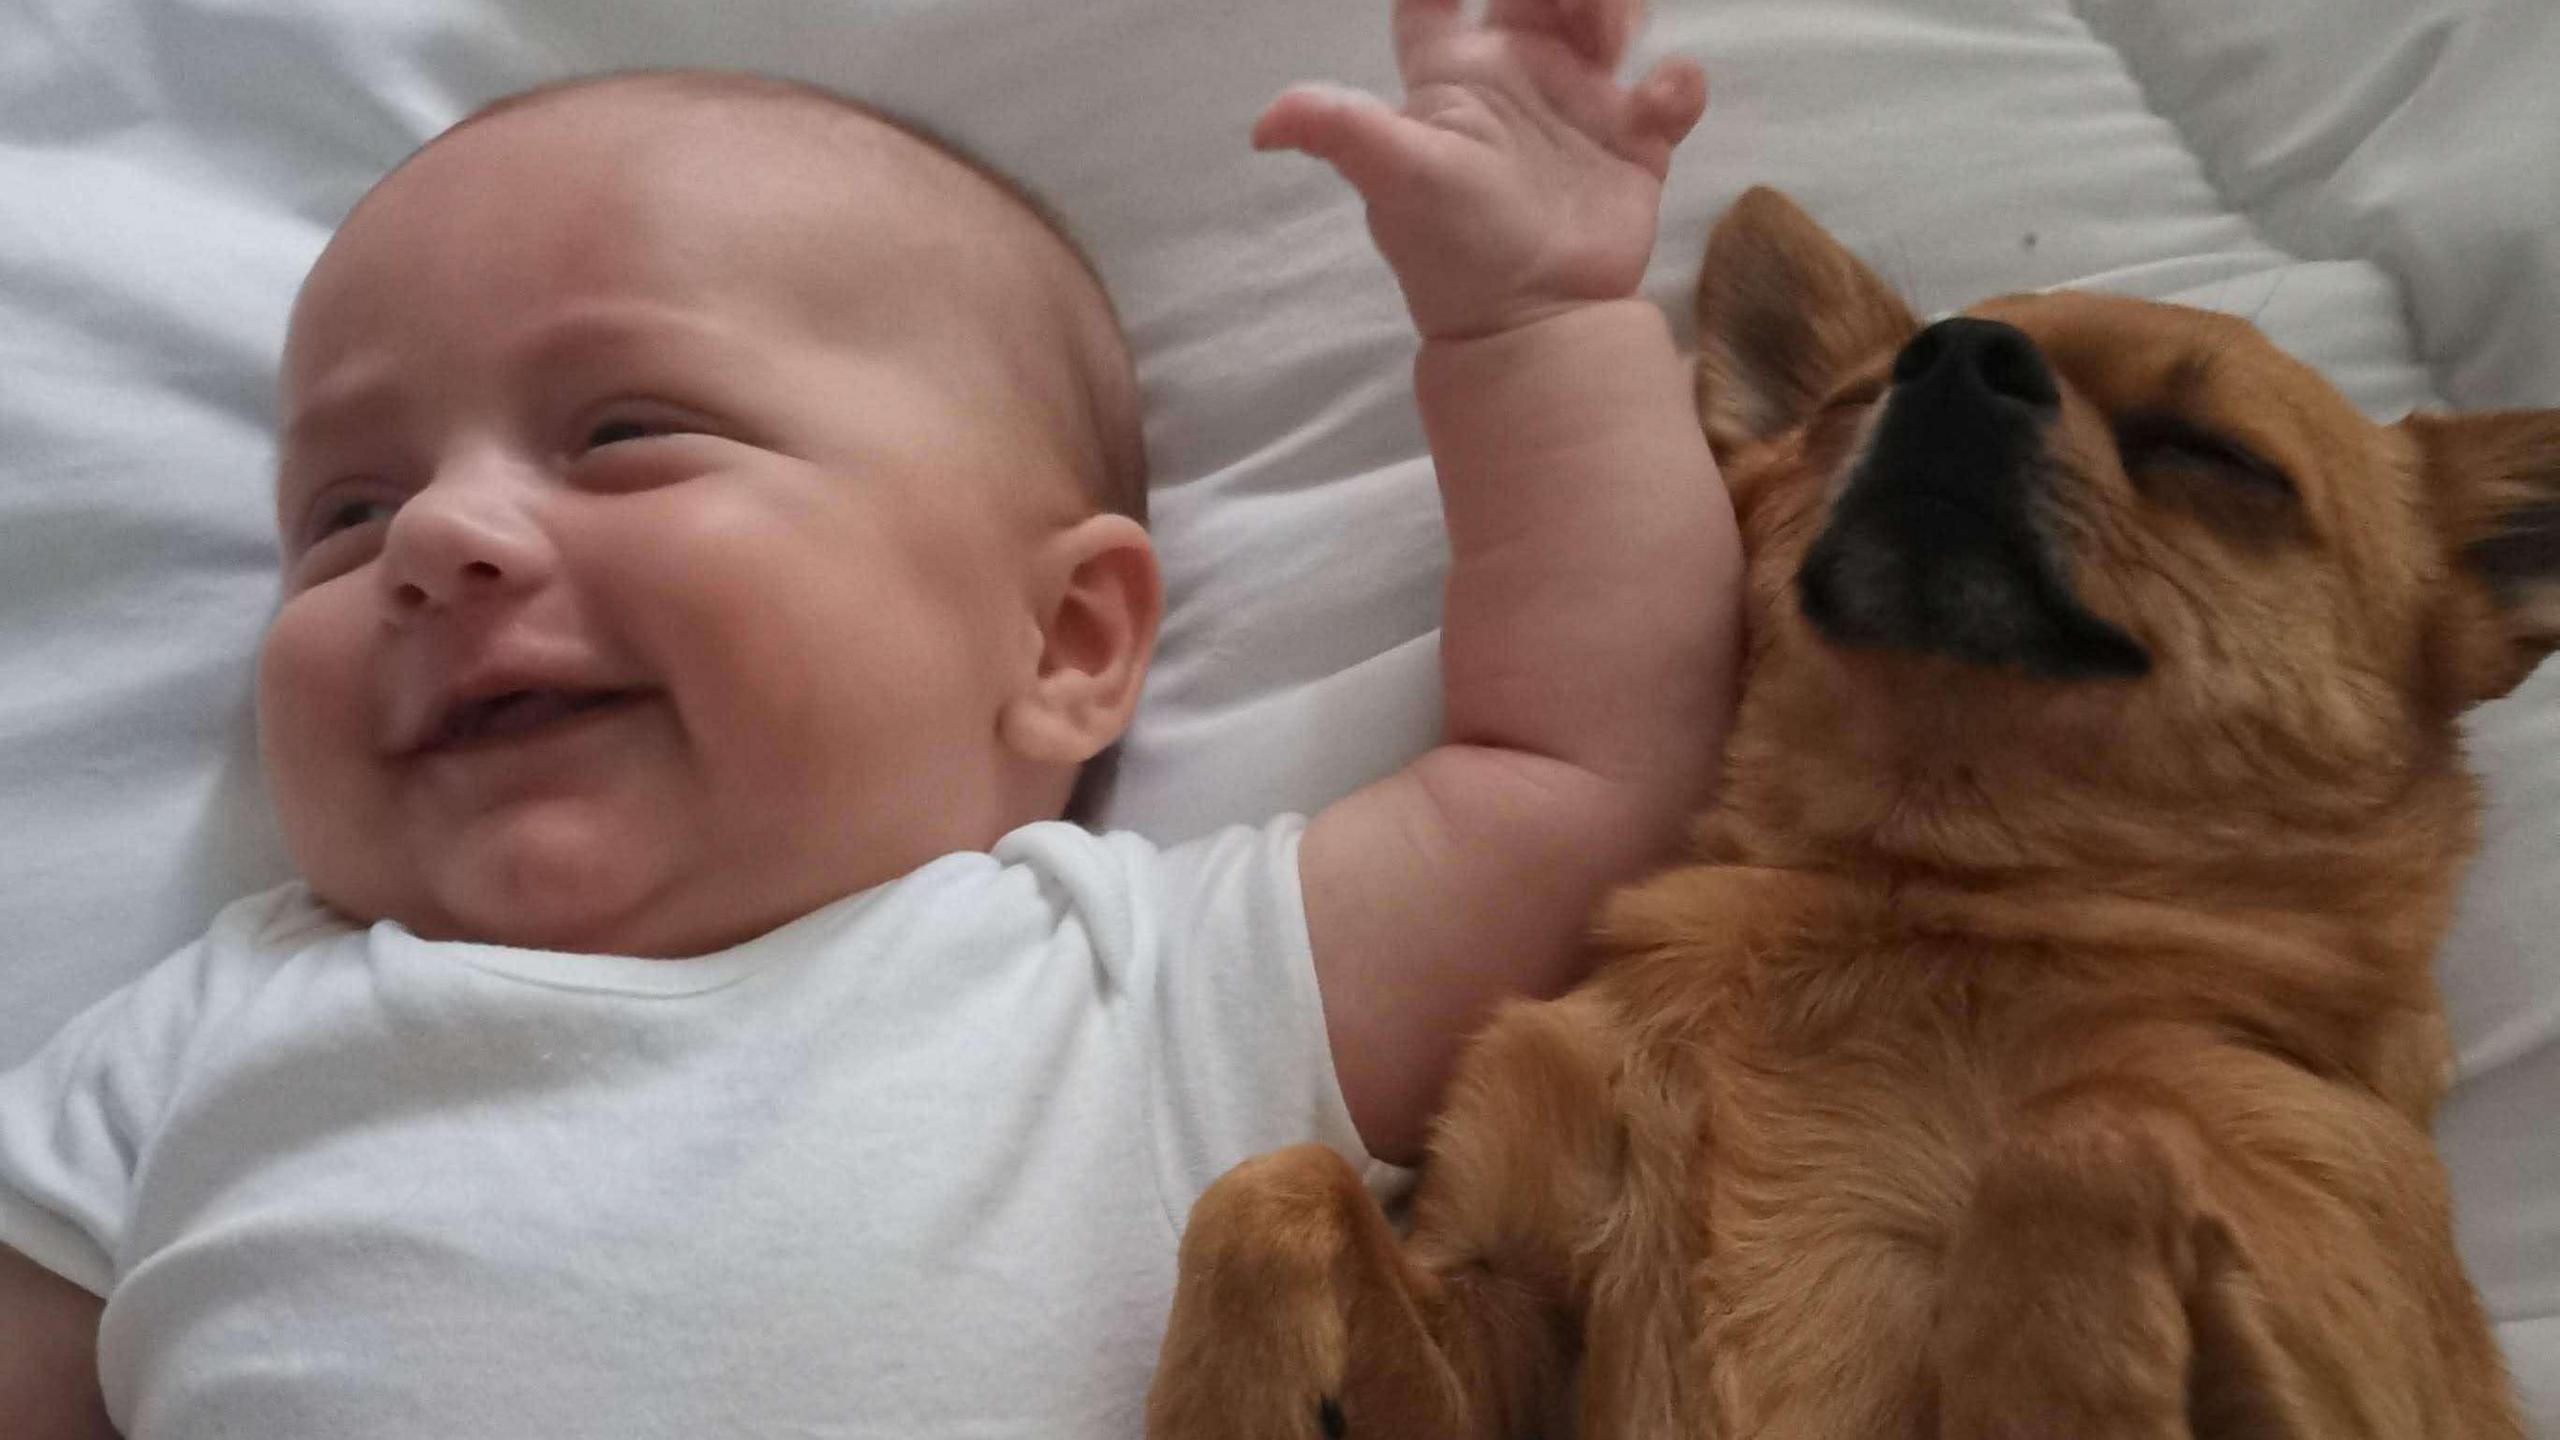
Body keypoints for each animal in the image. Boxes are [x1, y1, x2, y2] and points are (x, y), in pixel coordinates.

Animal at [1152, 184, 2549, 1424]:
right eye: (1847, 404)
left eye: (2219, 458)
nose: (1960, 360)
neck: (1908, 894)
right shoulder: (1501, 1293)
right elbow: (1267, 1193)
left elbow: (2088, 1135)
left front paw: (2049, 1397)